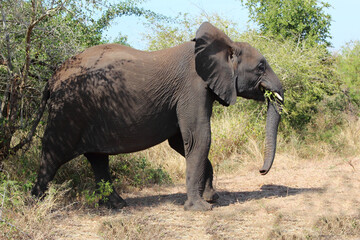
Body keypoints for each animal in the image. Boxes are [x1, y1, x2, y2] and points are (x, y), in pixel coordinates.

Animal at [31, 22, 284, 210]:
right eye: (261, 67)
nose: (261, 171)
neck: (224, 45)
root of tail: (53, 78)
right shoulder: (192, 88)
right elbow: (198, 138)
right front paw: (201, 208)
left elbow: (180, 141)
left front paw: (212, 197)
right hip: (69, 109)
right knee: (53, 153)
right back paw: (36, 204)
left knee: (97, 159)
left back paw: (116, 205)